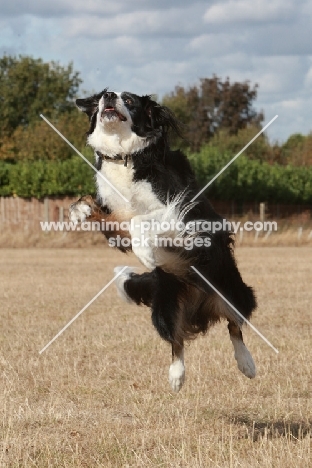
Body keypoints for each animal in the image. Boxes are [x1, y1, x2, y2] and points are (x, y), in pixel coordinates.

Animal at [69, 88, 258, 392]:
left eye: (129, 100)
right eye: (102, 96)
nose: (109, 96)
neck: (124, 156)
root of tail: (201, 306)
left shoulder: (181, 210)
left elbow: (141, 219)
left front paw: (146, 253)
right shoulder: (116, 220)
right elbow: (94, 206)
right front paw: (79, 211)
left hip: (234, 291)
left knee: (235, 326)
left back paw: (247, 364)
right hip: (165, 309)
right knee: (177, 341)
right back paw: (176, 378)